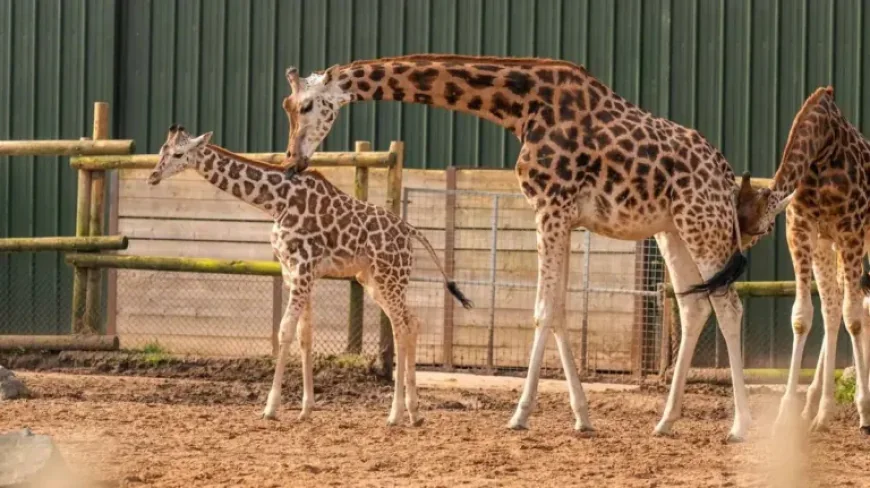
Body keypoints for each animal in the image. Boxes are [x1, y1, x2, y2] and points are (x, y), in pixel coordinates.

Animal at [146, 124, 473, 426]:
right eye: (162, 150)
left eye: (179, 154)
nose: (153, 176)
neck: (275, 203)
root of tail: (412, 232)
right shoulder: (293, 271)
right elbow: (305, 335)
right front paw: (305, 409)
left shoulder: (303, 267)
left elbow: (284, 331)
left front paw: (270, 408)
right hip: (374, 281)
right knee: (411, 322)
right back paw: (414, 413)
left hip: (389, 277)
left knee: (401, 327)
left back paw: (394, 415)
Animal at [276, 54, 790, 442]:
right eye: (286, 104)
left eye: (308, 105)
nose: (292, 160)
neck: (520, 107)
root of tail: (724, 174)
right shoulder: (560, 214)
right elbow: (558, 309)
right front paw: (582, 417)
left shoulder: (551, 207)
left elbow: (543, 310)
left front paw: (520, 415)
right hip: (673, 230)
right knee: (695, 305)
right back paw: (665, 421)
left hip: (704, 223)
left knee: (729, 305)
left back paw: (741, 426)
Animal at [737, 86, 870, 434]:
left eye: (761, 228)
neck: (823, 150)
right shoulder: (806, 230)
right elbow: (806, 314)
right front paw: (792, 413)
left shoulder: (849, 230)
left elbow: (852, 316)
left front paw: (864, 411)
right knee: (835, 305)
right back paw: (813, 407)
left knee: (855, 306)